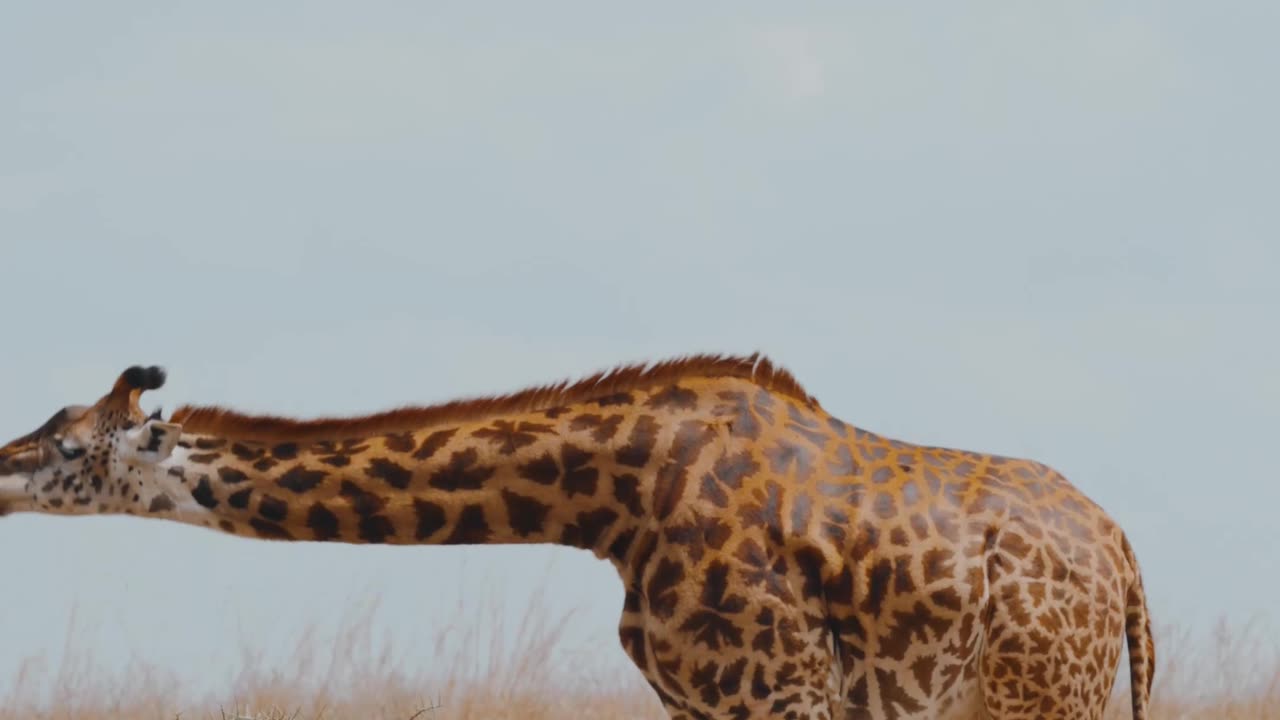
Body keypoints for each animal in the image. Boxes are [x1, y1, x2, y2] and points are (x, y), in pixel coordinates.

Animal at [0, 353, 1157, 717]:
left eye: (69, 448)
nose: (0, 472)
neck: (615, 503)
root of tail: (1121, 553)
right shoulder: (702, 702)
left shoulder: (784, 693)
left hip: (1036, 694)